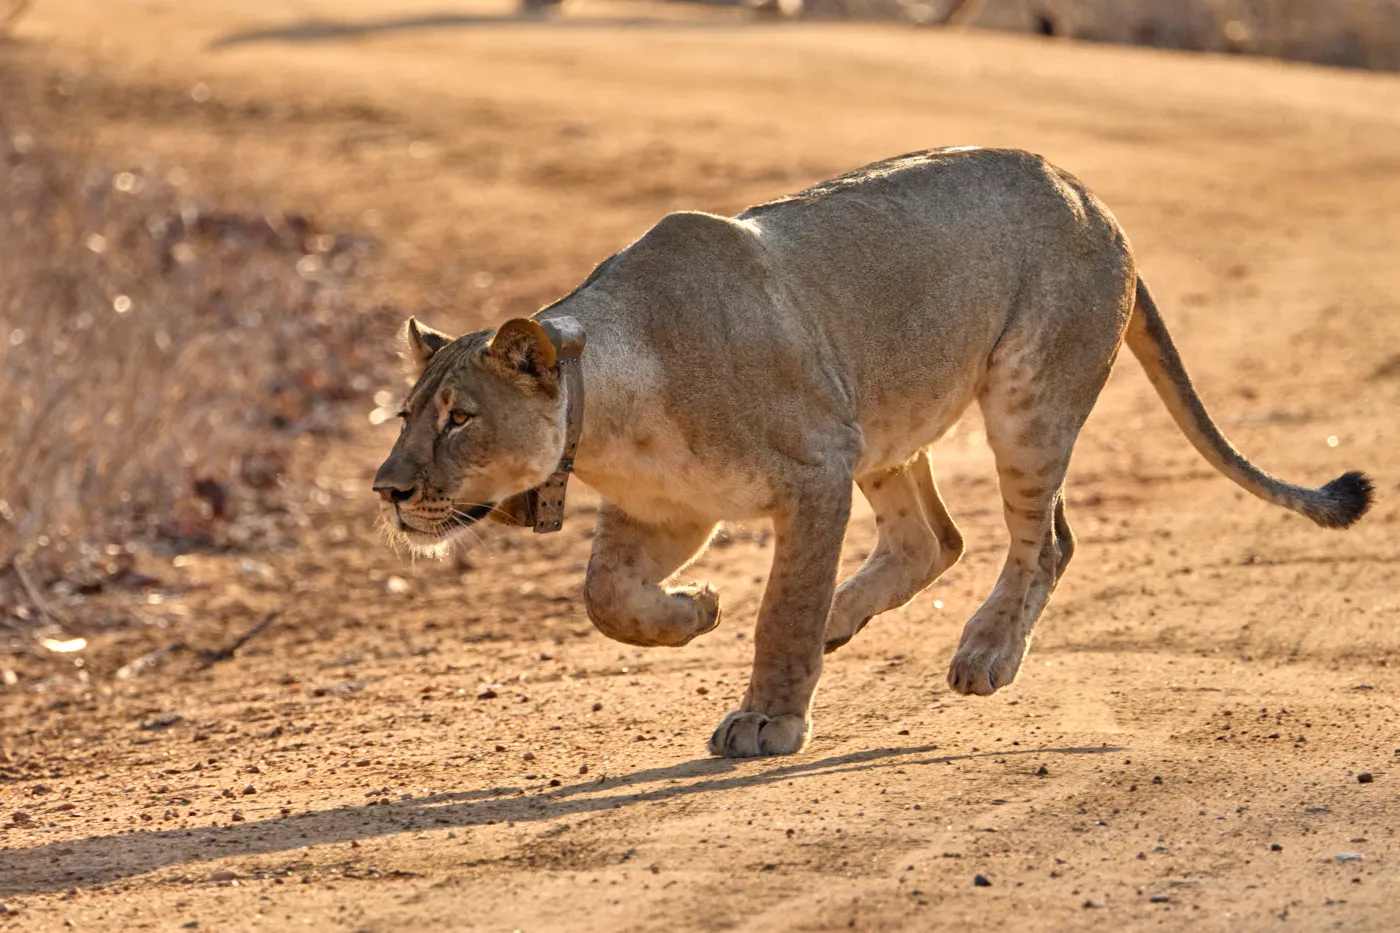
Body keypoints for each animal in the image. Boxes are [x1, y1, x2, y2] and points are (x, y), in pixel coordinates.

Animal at [373, 147, 1373, 758]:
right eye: (407, 413)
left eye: (460, 418)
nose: (387, 490)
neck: (611, 411)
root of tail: (1090, 193)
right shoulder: (670, 508)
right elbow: (605, 598)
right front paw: (696, 609)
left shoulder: (815, 470)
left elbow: (779, 610)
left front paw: (769, 716)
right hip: (885, 422)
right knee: (933, 540)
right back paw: (844, 621)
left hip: (1022, 399)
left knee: (1042, 540)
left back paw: (985, 655)